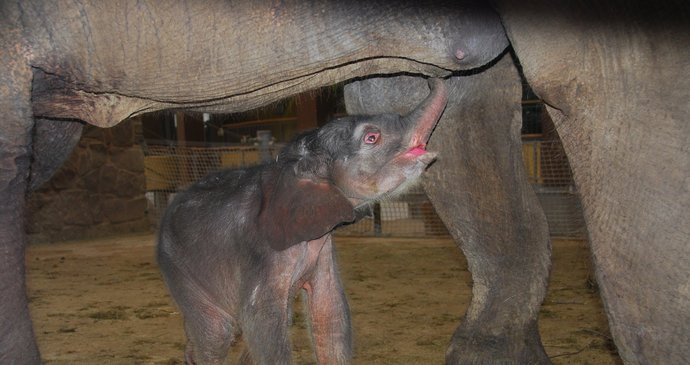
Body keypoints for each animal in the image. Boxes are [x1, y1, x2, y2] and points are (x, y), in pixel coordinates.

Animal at [156, 78, 446, 362]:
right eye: (372, 137)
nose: (430, 78)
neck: (298, 163)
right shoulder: (261, 251)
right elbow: (261, 320)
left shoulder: (322, 247)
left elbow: (329, 312)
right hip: (178, 267)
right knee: (217, 334)